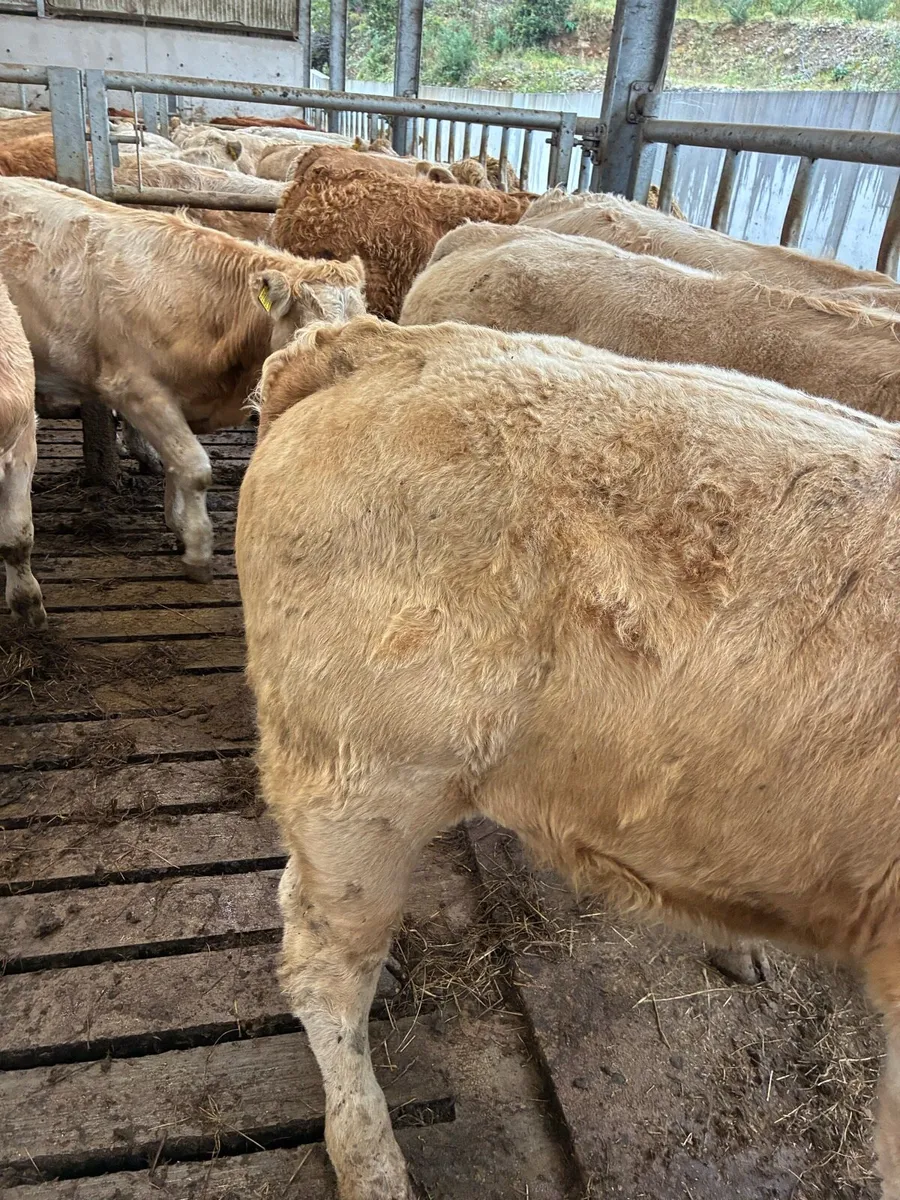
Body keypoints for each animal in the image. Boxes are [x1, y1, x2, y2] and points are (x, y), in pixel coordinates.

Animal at [0, 178, 365, 582]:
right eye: (311, 331)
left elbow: (176, 464)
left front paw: (178, 526)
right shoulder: (135, 390)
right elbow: (194, 467)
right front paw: (198, 549)